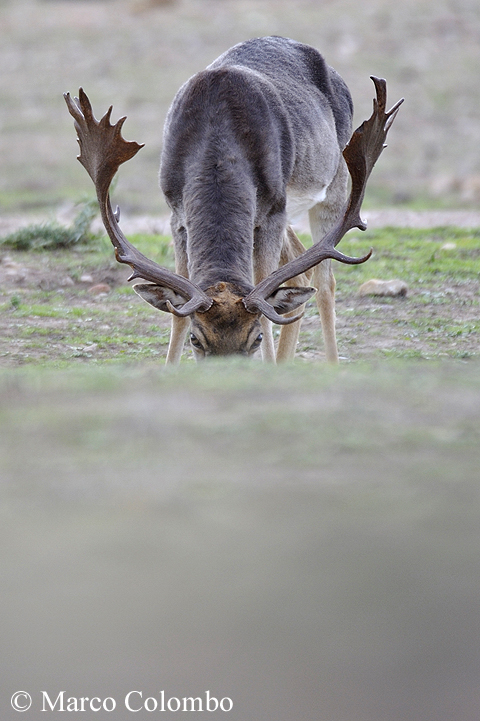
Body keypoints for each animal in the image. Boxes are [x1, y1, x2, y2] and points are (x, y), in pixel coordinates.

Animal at [63, 35, 402, 360]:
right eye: (196, 340)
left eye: (255, 339)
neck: (218, 137)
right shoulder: (176, 214)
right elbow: (177, 313)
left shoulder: (272, 211)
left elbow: (267, 310)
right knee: (299, 272)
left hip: (333, 184)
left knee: (323, 281)